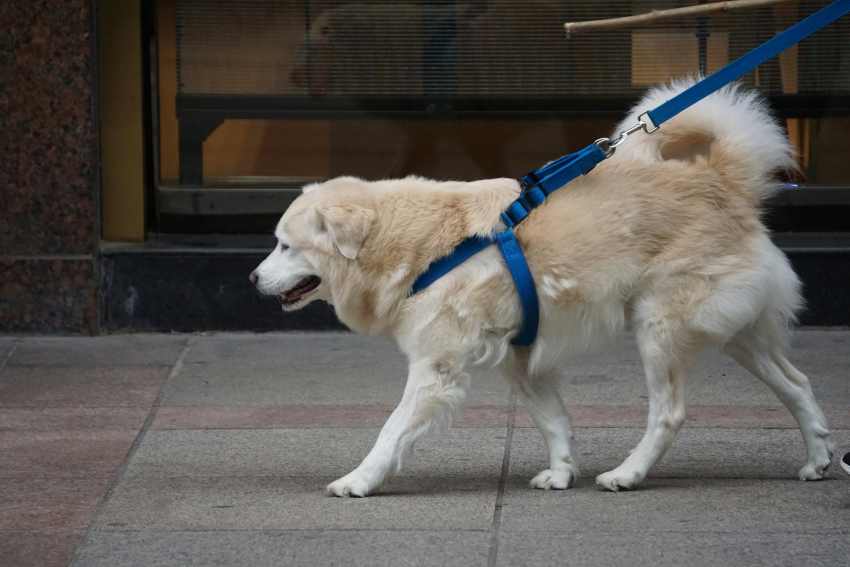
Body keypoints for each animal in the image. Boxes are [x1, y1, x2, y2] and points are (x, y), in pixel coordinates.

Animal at [250, 81, 828, 496]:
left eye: (285, 246)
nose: (252, 278)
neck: (417, 242)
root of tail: (719, 179)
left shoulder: (436, 370)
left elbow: (390, 431)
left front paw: (359, 481)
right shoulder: (522, 359)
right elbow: (555, 422)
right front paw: (561, 473)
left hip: (659, 329)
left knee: (669, 413)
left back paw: (628, 474)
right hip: (739, 334)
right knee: (797, 383)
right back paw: (819, 459)